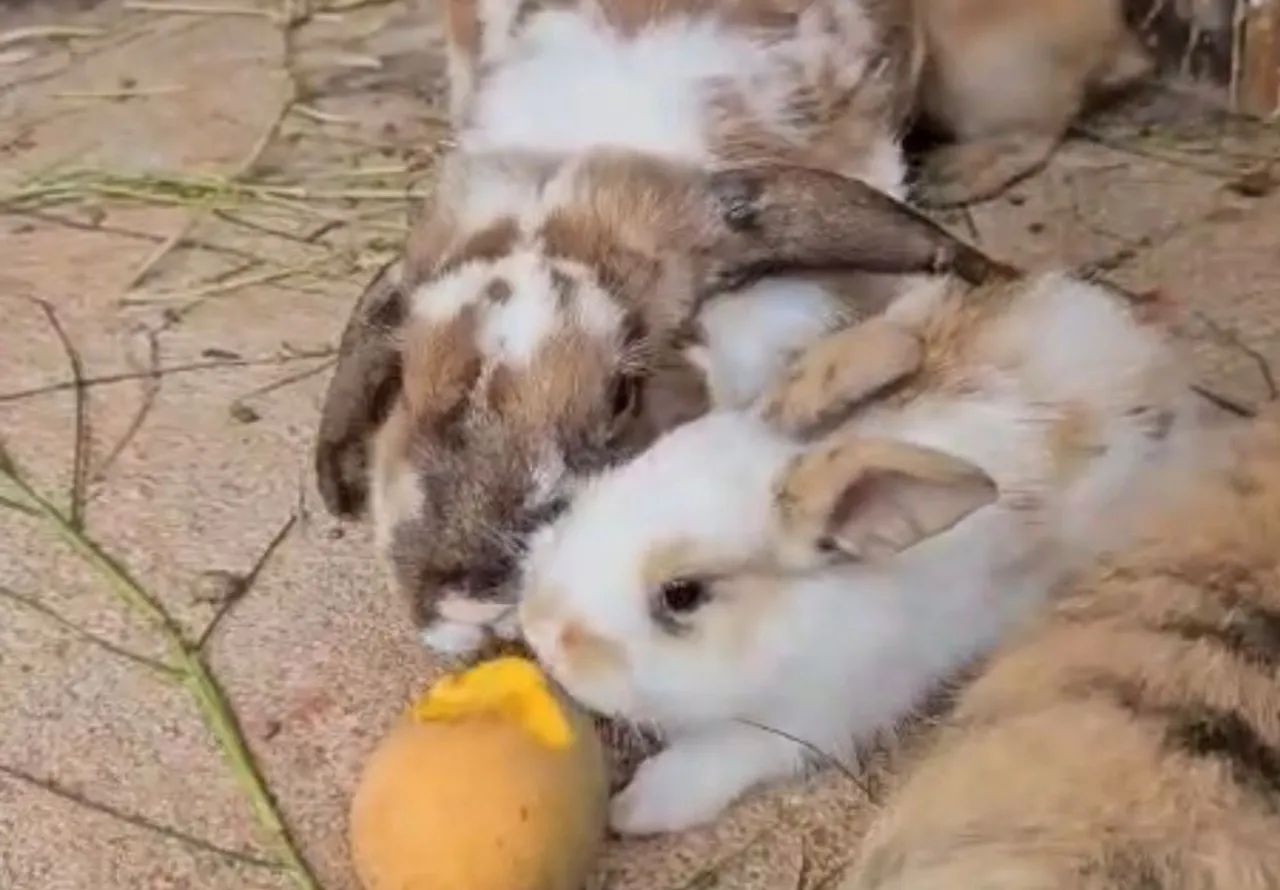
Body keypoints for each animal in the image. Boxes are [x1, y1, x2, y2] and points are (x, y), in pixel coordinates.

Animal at [517, 172, 1201, 836]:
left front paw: (635, 809)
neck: (797, 619)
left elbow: (719, 754)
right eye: (622, 480)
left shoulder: (809, 716)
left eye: (682, 594)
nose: (541, 629)